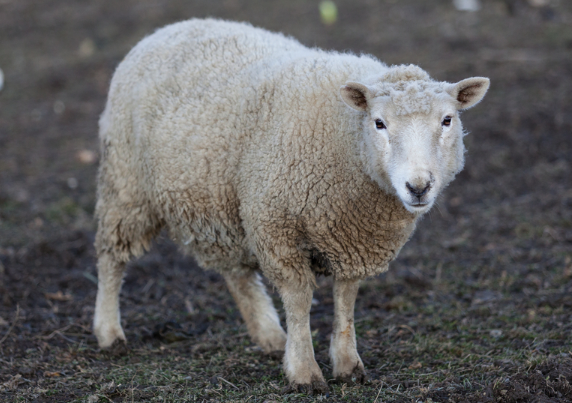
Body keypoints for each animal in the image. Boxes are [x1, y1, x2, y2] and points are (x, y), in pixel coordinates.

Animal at [92, 19, 488, 394]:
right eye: (379, 123)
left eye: (447, 120)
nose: (418, 186)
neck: (347, 138)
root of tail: (169, 28)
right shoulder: (277, 225)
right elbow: (299, 300)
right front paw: (303, 372)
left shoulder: (352, 238)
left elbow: (346, 299)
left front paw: (347, 365)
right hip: (127, 183)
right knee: (111, 256)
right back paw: (109, 332)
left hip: (223, 201)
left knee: (236, 272)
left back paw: (269, 336)